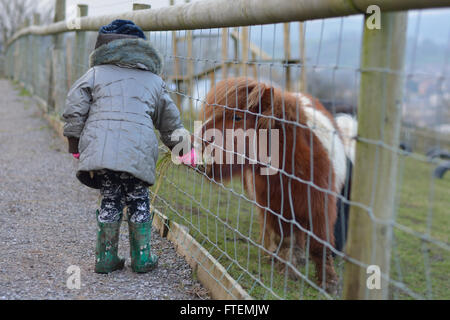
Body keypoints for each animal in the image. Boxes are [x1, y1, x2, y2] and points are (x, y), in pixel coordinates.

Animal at [197, 77, 348, 292]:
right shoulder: (275, 205)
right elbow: (284, 238)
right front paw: (287, 269)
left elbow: (320, 246)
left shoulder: (320, 207)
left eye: (237, 117)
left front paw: (329, 283)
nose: (198, 136)